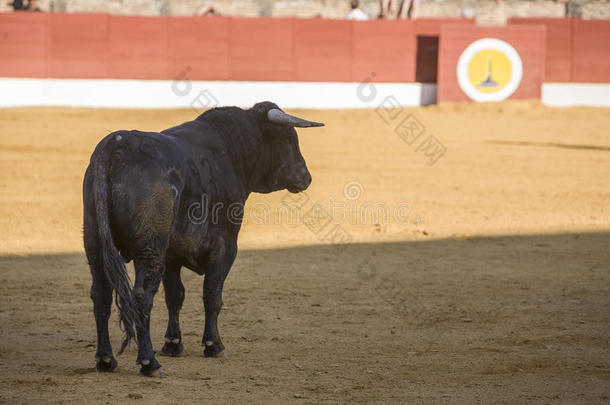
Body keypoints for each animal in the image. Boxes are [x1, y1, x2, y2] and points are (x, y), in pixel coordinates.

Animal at [84, 101, 328, 376]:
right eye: (288, 139)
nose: (306, 177)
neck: (231, 149)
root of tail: (116, 144)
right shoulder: (225, 247)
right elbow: (212, 294)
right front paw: (214, 345)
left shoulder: (172, 255)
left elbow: (175, 295)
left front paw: (173, 343)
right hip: (150, 248)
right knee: (141, 296)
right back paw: (149, 362)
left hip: (95, 244)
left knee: (100, 294)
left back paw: (105, 359)